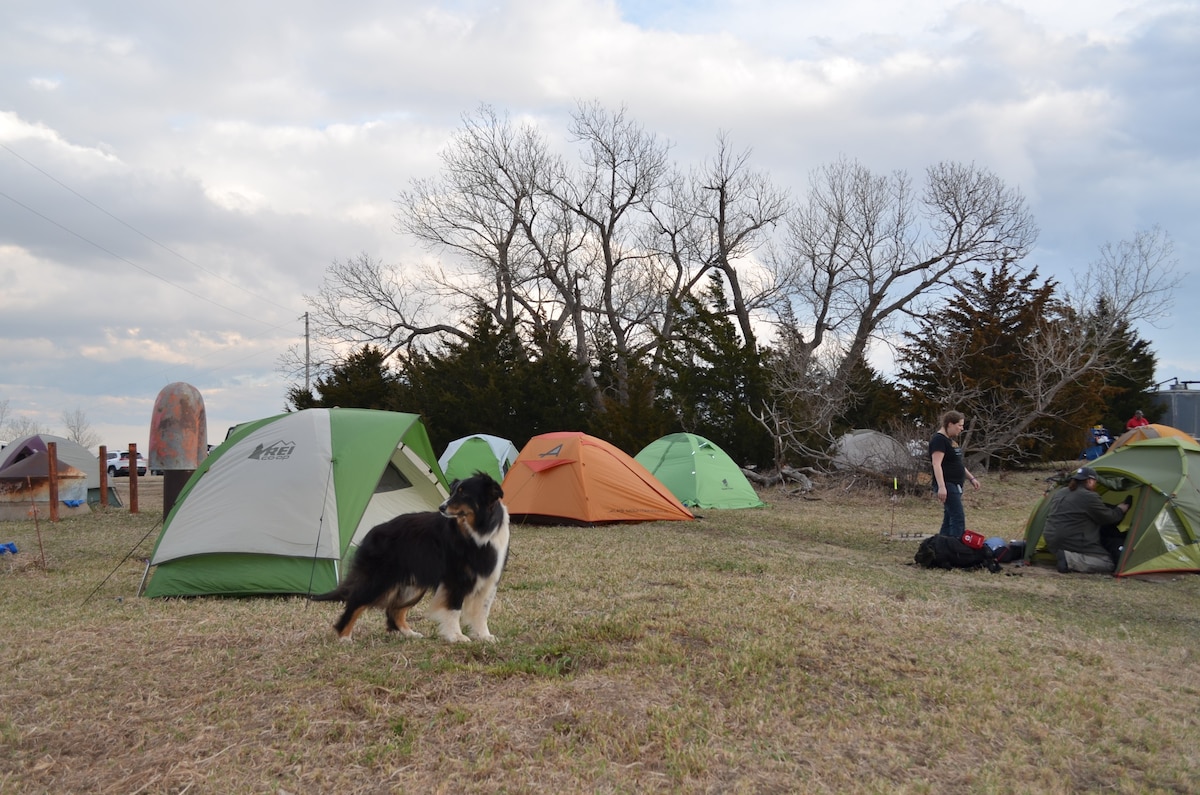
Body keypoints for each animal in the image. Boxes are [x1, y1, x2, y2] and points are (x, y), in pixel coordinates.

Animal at [312, 475, 508, 643]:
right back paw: (344, 637)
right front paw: (457, 637)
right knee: (357, 601)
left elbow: (482, 612)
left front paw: (484, 636)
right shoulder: (456, 579)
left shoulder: (489, 580)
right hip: (380, 578)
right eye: (453, 492)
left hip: (412, 586)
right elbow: (454, 609)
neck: (479, 531)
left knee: (394, 611)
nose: (441, 507)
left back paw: (410, 633)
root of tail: (372, 532)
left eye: (463, 493)